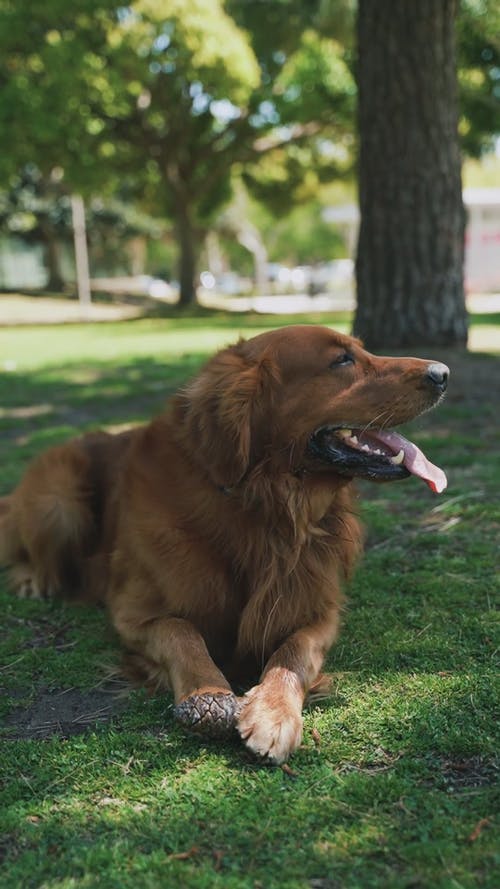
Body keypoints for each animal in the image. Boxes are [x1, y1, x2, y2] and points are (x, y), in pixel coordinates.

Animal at [0, 326, 450, 764]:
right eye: (341, 360)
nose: (442, 373)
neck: (265, 510)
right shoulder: (131, 613)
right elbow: (181, 631)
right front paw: (208, 695)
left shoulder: (321, 612)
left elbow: (294, 652)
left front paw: (273, 712)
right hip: (59, 498)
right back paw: (31, 580)